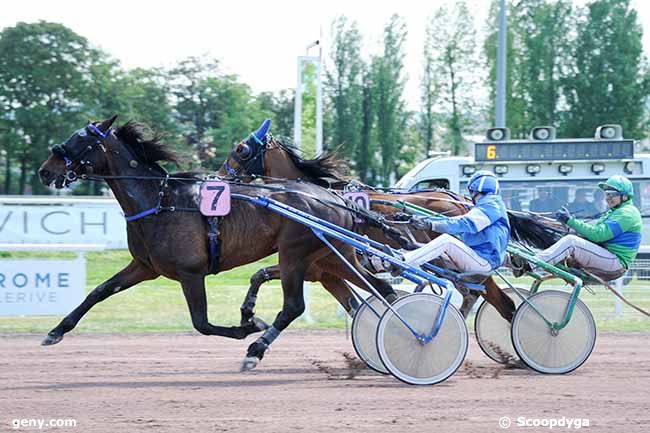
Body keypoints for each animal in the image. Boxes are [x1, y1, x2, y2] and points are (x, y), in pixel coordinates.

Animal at [40, 116, 398, 370]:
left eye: (81, 140)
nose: (45, 171)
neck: (161, 202)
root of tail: (335, 198)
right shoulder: (144, 267)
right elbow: (99, 292)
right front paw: (56, 331)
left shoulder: (190, 273)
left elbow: (201, 323)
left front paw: (249, 325)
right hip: (331, 257)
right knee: (383, 288)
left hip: (295, 255)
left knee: (294, 306)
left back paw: (255, 350)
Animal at [218, 120, 516, 322]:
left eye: (241, 149)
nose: (220, 176)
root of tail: (462, 200)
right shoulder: (324, 272)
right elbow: (261, 274)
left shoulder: (317, 268)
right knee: (485, 297)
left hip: (467, 263)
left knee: (492, 299)